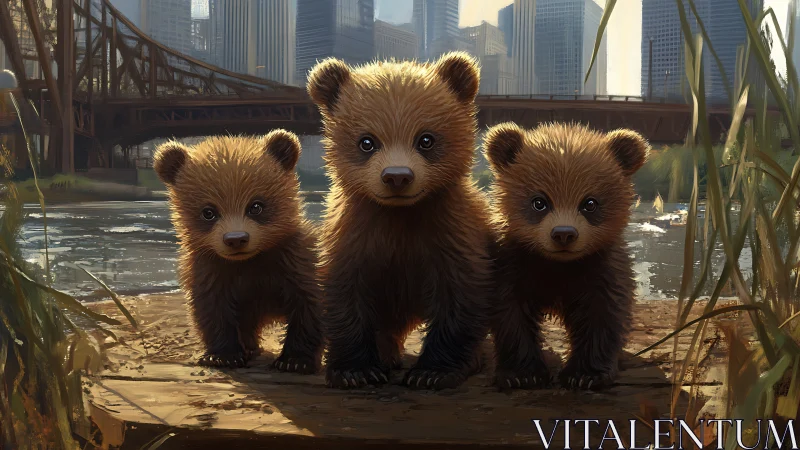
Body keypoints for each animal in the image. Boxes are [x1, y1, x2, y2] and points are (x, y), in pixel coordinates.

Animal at [153, 131, 323, 372]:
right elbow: (213, 311)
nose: (236, 239)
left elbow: (310, 307)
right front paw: (223, 355)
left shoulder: (296, 263)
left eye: (256, 206)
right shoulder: (212, 271)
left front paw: (295, 359)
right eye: (208, 212)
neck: (250, 261)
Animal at [306, 52, 493, 390]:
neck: (399, 213)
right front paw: (355, 370)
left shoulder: (451, 232)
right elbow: (343, 294)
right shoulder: (354, 234)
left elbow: (460, 297)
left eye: (426, 139)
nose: (397, 177)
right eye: (367, 141)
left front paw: (433, 372)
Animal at [483, 122, 649, 391]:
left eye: (590, 203)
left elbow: (603, 314)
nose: (563, 234)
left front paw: (586, 374)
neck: (558, 265)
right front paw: (522, 373)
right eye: (539, 202)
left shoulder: (600, 266)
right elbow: (510, 313)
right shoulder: (513, 263)